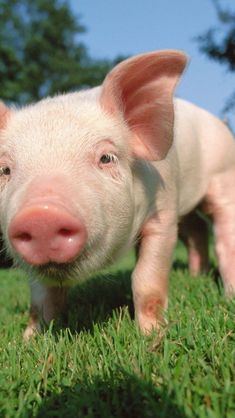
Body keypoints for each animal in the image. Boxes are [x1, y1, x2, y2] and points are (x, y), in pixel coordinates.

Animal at [0, 49, 235, 340]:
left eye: (106, 158)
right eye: (5, 169)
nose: (41, 215)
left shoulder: (164, 211)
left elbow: (146, 278)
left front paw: (151, 336)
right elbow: (42, 297)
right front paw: (29, 339)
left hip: (224, 175)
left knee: (223, 232)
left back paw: (229, 294)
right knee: (197, 230)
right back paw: (194, 277)